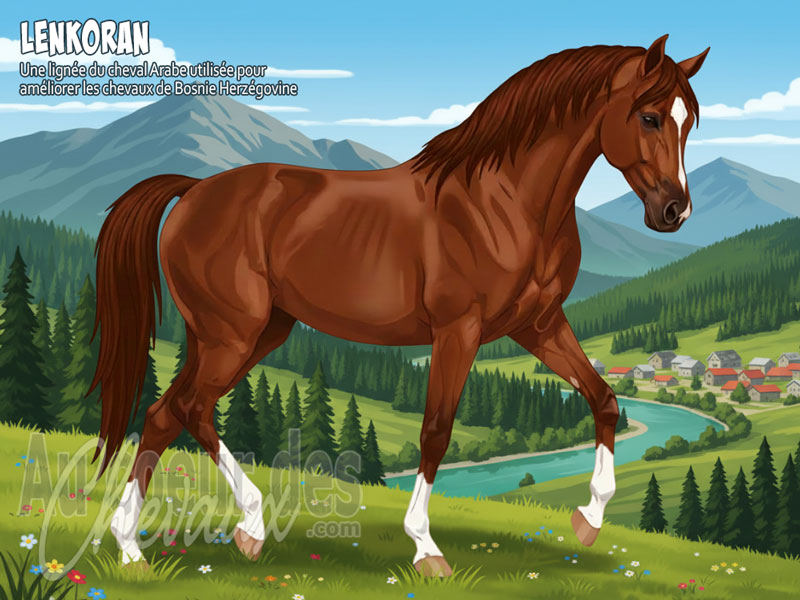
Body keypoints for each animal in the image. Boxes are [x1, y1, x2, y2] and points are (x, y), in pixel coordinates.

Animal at [90, 34, 708, 576]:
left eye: (689, 120)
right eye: (650, 117)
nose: (675, 210)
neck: (503, 202)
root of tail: (192, 191)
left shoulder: (539, 325)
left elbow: (604, 399)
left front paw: (589, 519)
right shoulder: (458, 330)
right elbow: (435, 430)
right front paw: (426, 549)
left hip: (253, 333)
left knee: (173, 413)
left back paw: (182, 539)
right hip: (231, 334)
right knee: (179, 410)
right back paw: (177, 540)